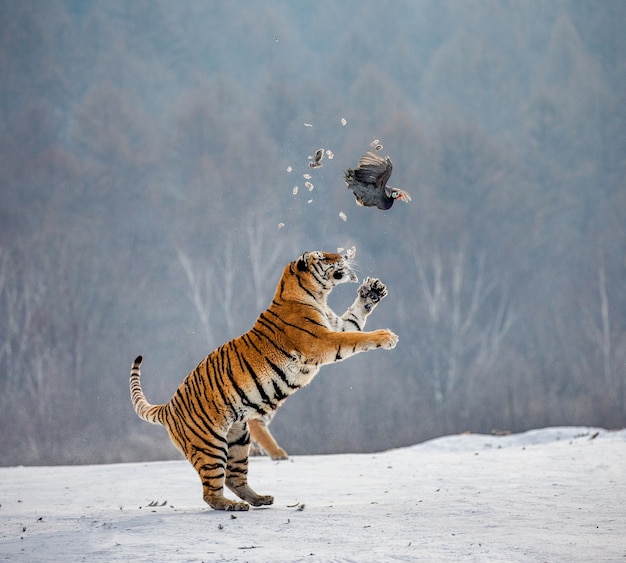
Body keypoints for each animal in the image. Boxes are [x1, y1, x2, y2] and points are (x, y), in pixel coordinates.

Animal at [129, 250, 398, 512]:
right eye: (324, 257)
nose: (342, 256)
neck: (316, 296)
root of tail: (167, 407)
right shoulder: (323, 341)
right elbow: (356, 338)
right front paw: (386, 337)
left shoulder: (337, 326)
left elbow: (355, 318)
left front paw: (373, 291)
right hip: (210, 446)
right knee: (210, 492)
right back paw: (232, 505)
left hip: (238, 439)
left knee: (234, 478)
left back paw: (260, 499)